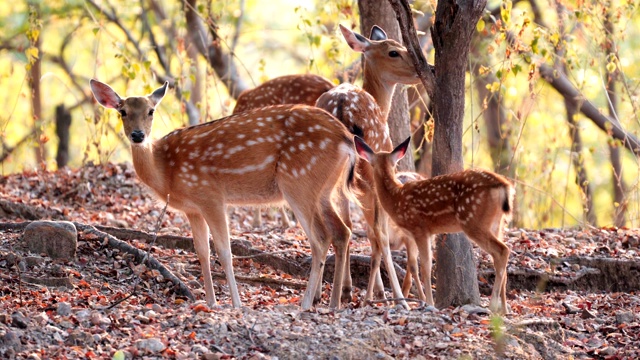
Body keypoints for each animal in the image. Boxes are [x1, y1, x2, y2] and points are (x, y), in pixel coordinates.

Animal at [312, 23, 422, 306]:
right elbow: (374, 233)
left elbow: (352, 226)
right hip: (370, 167)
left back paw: (319, 294)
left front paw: (348, 288)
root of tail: (341, 108)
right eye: (394, 51)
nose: (422, 69)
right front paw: (379, 292)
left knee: (331, 226)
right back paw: (398, 297)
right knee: (378, 233)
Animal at [356, 136, 516, 314]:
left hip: (473, 221)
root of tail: (504, 186)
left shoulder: (419, 228)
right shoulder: (426, 232)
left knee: (502, 250)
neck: (396, 198)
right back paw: (504, 309)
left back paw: (493, 305)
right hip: (497, 223)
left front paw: (429, 303)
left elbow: (425, 266)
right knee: (501, 255)